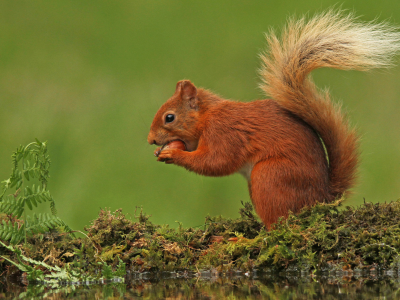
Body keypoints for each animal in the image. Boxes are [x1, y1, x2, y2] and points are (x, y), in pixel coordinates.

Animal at [147, 11, 400, 227]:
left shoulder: (224, 132)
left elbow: (215, 162)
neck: (208, 115)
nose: (150, 140)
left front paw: (174, 154)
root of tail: (320, 199)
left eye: (169, 118)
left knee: (277, 225)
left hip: (269, 177)